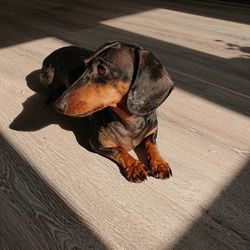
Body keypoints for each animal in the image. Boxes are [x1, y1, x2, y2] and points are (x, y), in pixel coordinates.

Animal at [41, 40, 174, 182]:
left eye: (101, 69)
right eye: (84, 66)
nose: (58, 106)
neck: (129, 121)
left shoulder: (152, 131)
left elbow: (152, 145)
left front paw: (159, 163)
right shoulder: (98, 144)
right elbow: (120, 150)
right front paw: (134, 166)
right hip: (47, 76)